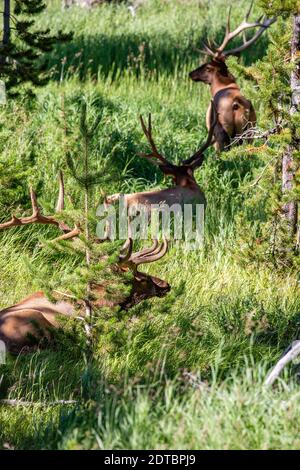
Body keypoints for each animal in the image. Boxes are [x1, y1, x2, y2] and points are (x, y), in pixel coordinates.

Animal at [189, 0, 276, 150]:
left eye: (208, 67)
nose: (191, 73)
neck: (222, 86)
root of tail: (236, 103)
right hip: (249, 130)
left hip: (221, 129)